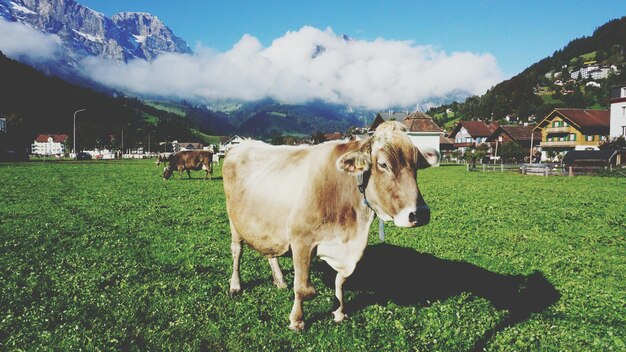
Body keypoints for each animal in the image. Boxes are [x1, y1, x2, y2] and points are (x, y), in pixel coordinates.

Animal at [222, 121, 436, 330]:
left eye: (416, 164)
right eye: (383, 164)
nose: (420, 213)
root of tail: (243, 143)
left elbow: (340, 281)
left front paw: (339, 312)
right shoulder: (301, 242)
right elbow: (304, 289)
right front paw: (297, 321)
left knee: (270, 251)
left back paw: (280, 280)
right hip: (234, 221)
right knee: (236, 251)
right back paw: (235, 286)